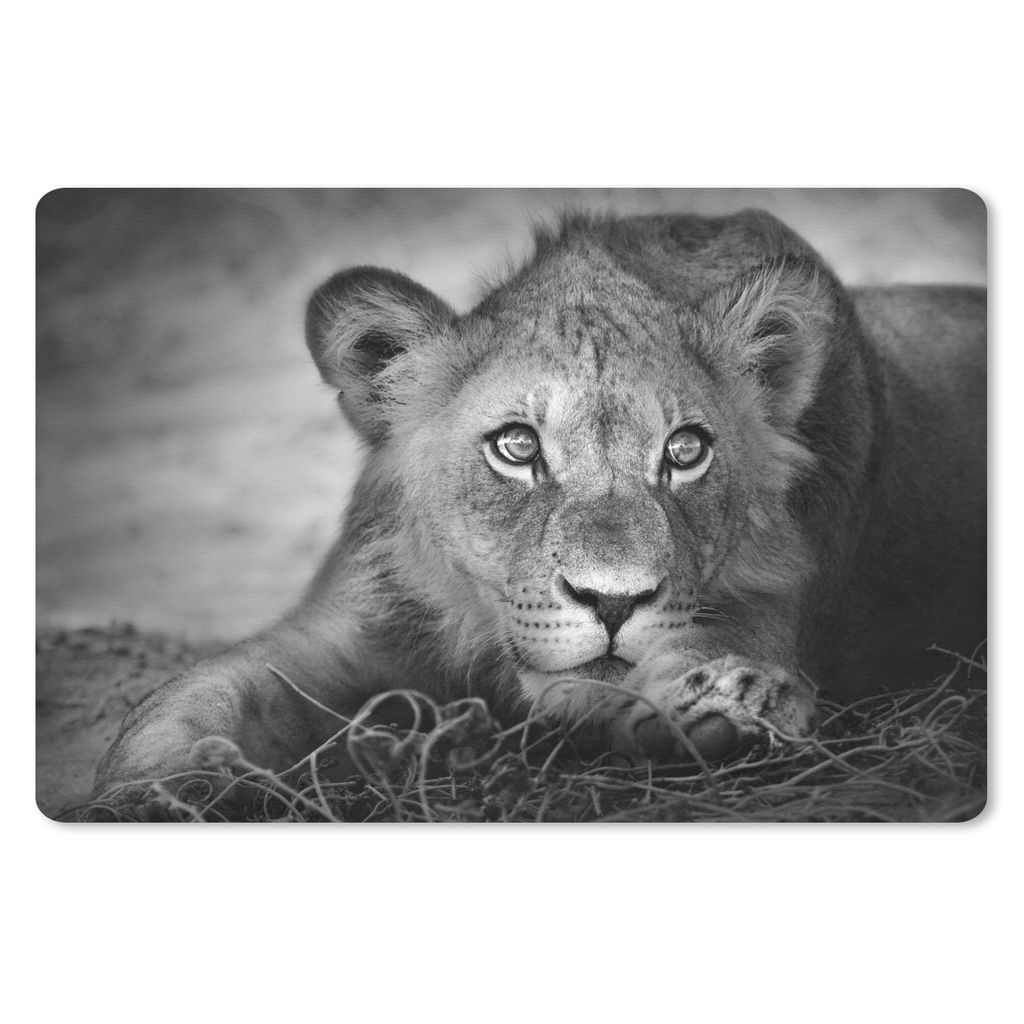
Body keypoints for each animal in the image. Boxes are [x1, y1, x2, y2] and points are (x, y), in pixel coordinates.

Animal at [94, 209, 987, 796]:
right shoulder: (344, 627)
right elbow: (194, 695)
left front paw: (729, 707)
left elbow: (719, 654)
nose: (613, 601)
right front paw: (163, 787)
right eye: (517, 447)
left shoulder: (765, 607)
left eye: (685, 451)